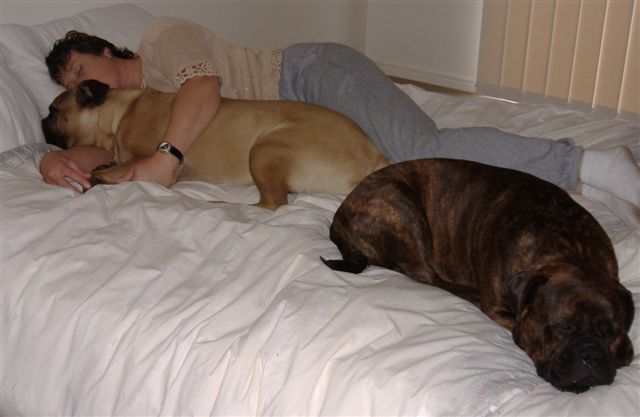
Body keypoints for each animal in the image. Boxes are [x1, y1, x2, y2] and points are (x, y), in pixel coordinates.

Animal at [41, 80, 388, 210]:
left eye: (54, 110)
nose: (41, 121)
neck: (118, 113)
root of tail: (374, 157)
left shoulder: (143, 156)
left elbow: (122, 167)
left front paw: (99, 177)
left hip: (265, 147)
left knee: (271, 204)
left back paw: (217, 203)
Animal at [321, 158, 635, 393]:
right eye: (561, 329)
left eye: (612, 332)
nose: (591, 354)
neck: (572, 251)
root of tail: (341, 213)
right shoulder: (497, 307)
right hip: (401, 204)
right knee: (426, 275)